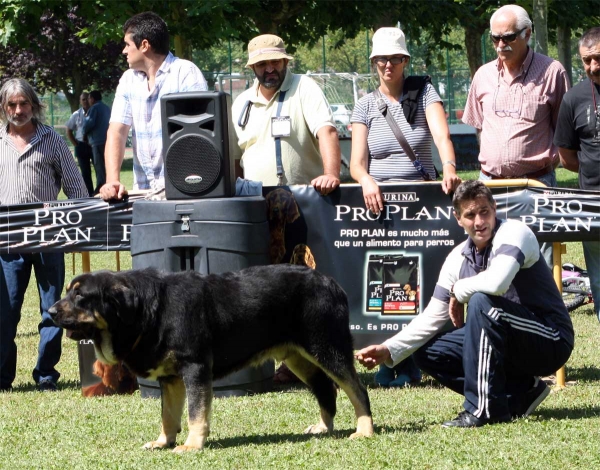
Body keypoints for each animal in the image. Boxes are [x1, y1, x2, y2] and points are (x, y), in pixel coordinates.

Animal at [49, 264, 372, 452]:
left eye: (80, 297)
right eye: (68, 293)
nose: (50, 311)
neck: (148, 311)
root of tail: (331, 282)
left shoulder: (195, 368)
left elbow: (195, 414)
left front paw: (192, 445)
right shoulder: (171, 378)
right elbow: (168, 416)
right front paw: (164, 442)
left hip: (328, 348)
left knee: (357, 390)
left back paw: (364, 430)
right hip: (298, 357)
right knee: (325, 390)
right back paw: (324, 428)